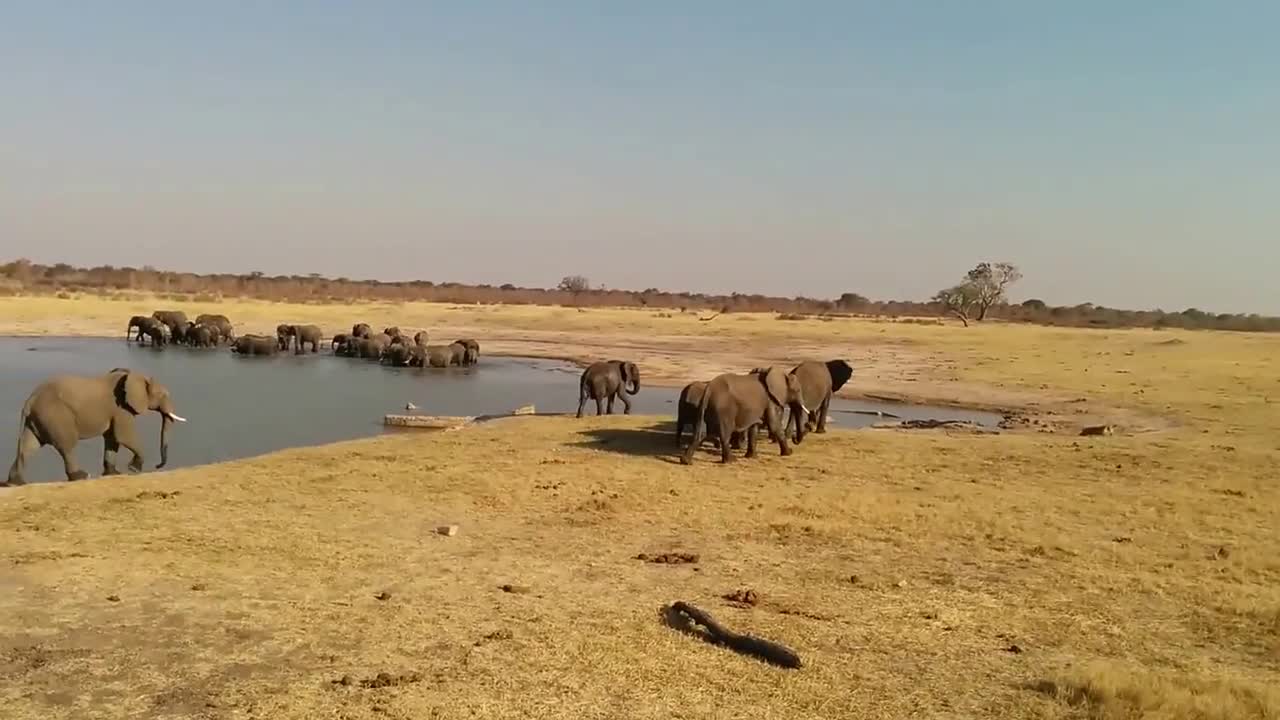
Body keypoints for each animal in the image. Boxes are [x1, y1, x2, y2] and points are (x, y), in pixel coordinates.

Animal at [5, 366, 186, 484]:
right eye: (163, 395)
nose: (157, 466)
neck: (134, 376)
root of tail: (30, 400)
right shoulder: (120, 408)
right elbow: (124, 436)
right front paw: (134, 469)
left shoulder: (116, 411)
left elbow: (113, 439)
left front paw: (113, 473)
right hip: (55, 416)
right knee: (67, 445)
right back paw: (82, 476)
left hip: (38, 418)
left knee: (29, 446)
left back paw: (15, 482)